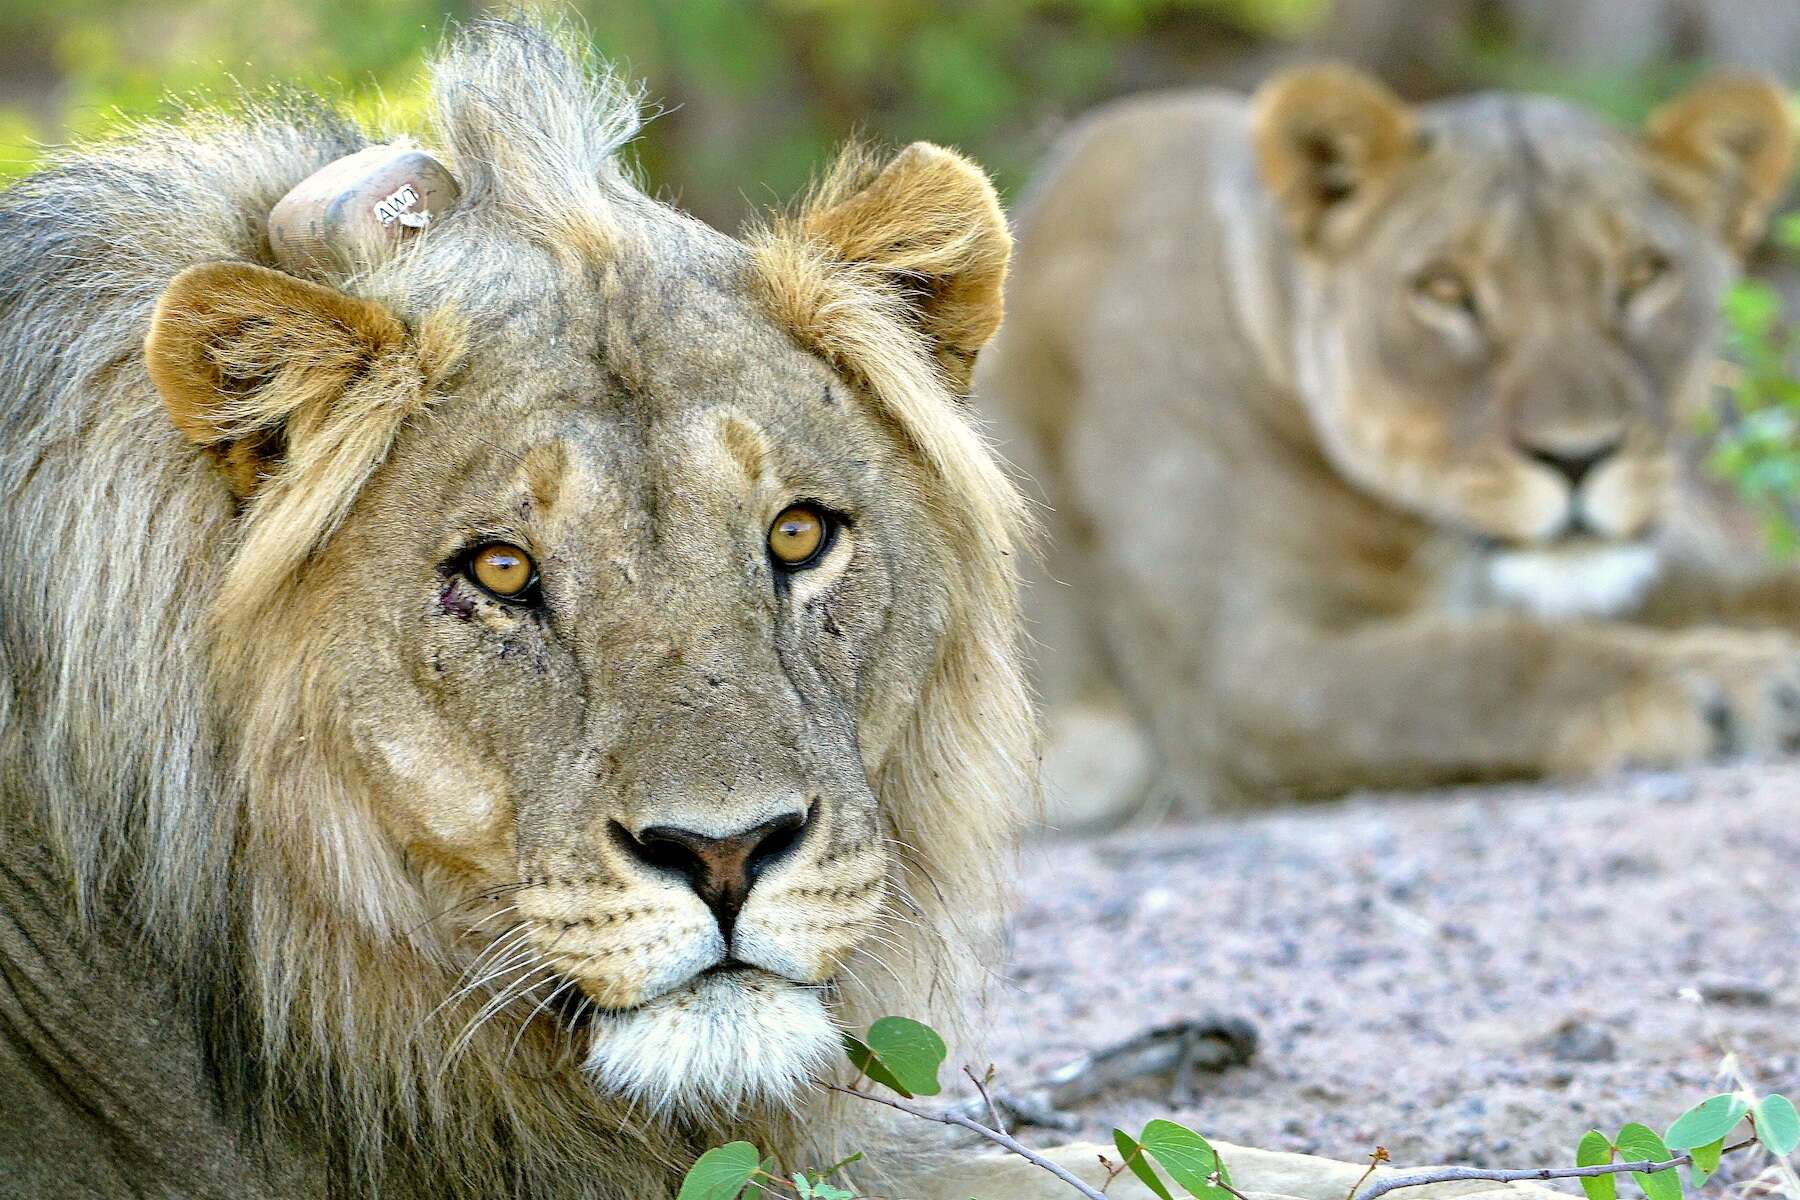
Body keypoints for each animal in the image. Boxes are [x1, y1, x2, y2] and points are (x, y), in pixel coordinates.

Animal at [980, 65, 1800, 812]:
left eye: (1642, 276)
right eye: (1445, 291)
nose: (1579, 458)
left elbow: (1741, 587)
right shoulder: (1232, 681)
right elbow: (1479, 667)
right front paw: (1725, 684)